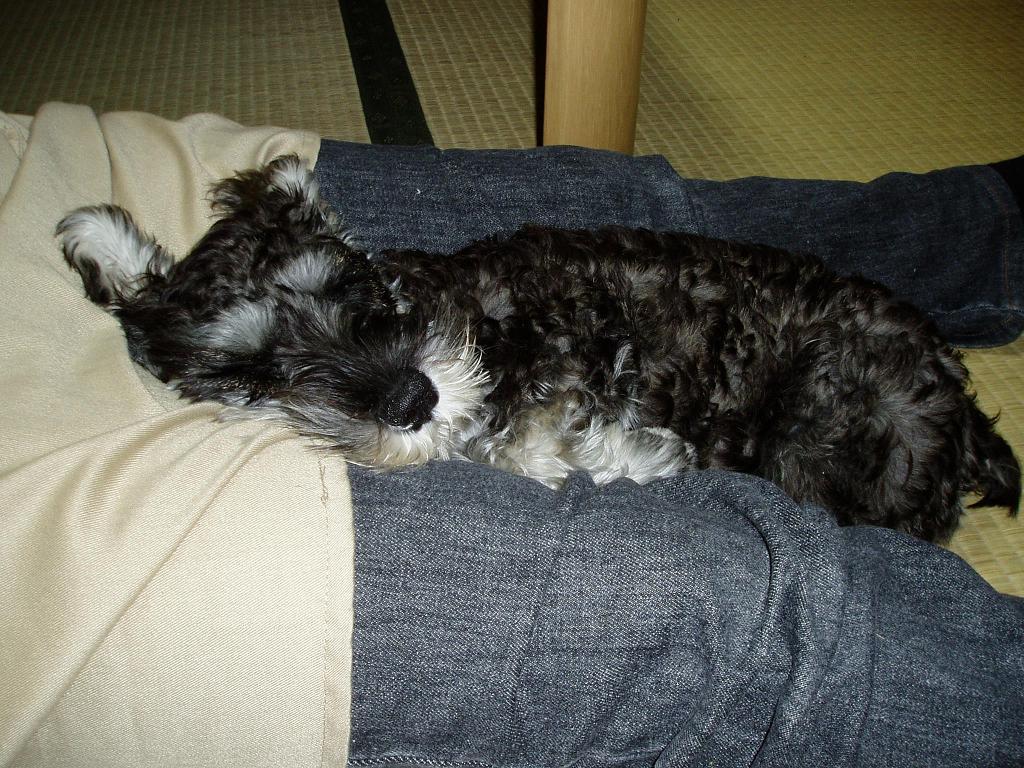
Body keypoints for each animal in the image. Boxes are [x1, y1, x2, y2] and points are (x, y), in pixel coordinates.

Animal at [57, 155, 1020, 541]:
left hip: (816, 444)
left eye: (343, 282)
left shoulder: (574, 353)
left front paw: (632, 452)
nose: (412, 398)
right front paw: (625, 454)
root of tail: (964, 416)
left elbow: (538, 434)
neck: (455, 315)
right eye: (249, 367)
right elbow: (527, 446)